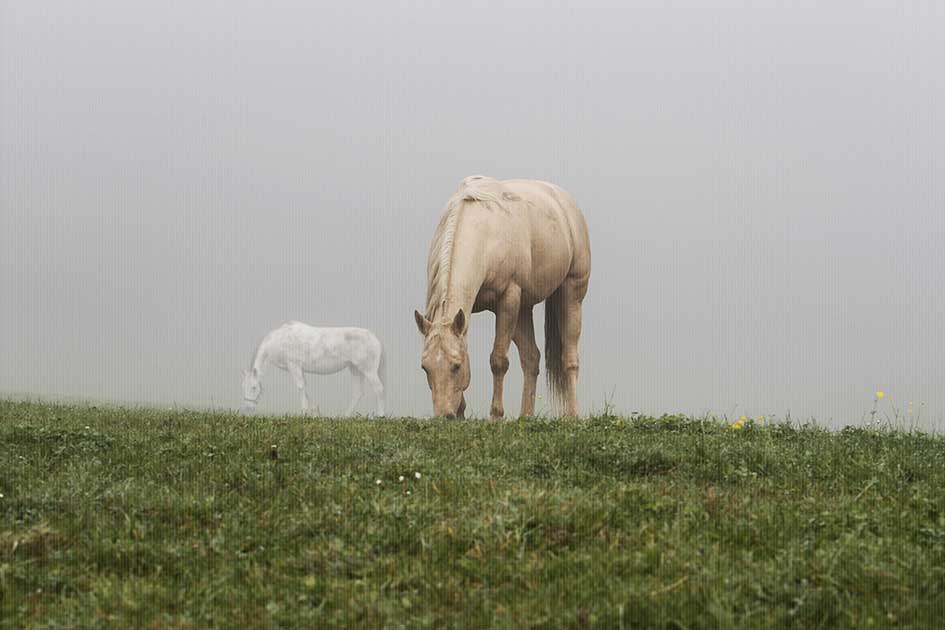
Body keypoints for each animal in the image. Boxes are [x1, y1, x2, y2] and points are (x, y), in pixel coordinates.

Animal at [242, 324, 386, 418]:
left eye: (254, 387)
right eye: (244, 388)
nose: (248, 407)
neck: (280, 340)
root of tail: (375, 339)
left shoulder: (294, 365)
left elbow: (300, 387)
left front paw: (304, 413)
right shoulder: (298, 368)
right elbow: (304, 388)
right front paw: (314, 412)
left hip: (368, 370)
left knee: (379, 389)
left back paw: (380, 416)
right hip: (355, 368)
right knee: (358, 392)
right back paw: (345, 416)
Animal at [412, 175, 592, 420]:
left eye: (456, 366)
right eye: (425, 368)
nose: (444, 416)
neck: (483, 233)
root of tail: (566, 203)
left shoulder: (508, 299)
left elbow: (498, 360)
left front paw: (495, 415)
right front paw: (462, 413)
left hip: (570, 294)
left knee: (570, 359)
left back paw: (572, 416)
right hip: (523, 310)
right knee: (531, 358)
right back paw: (526, 417)